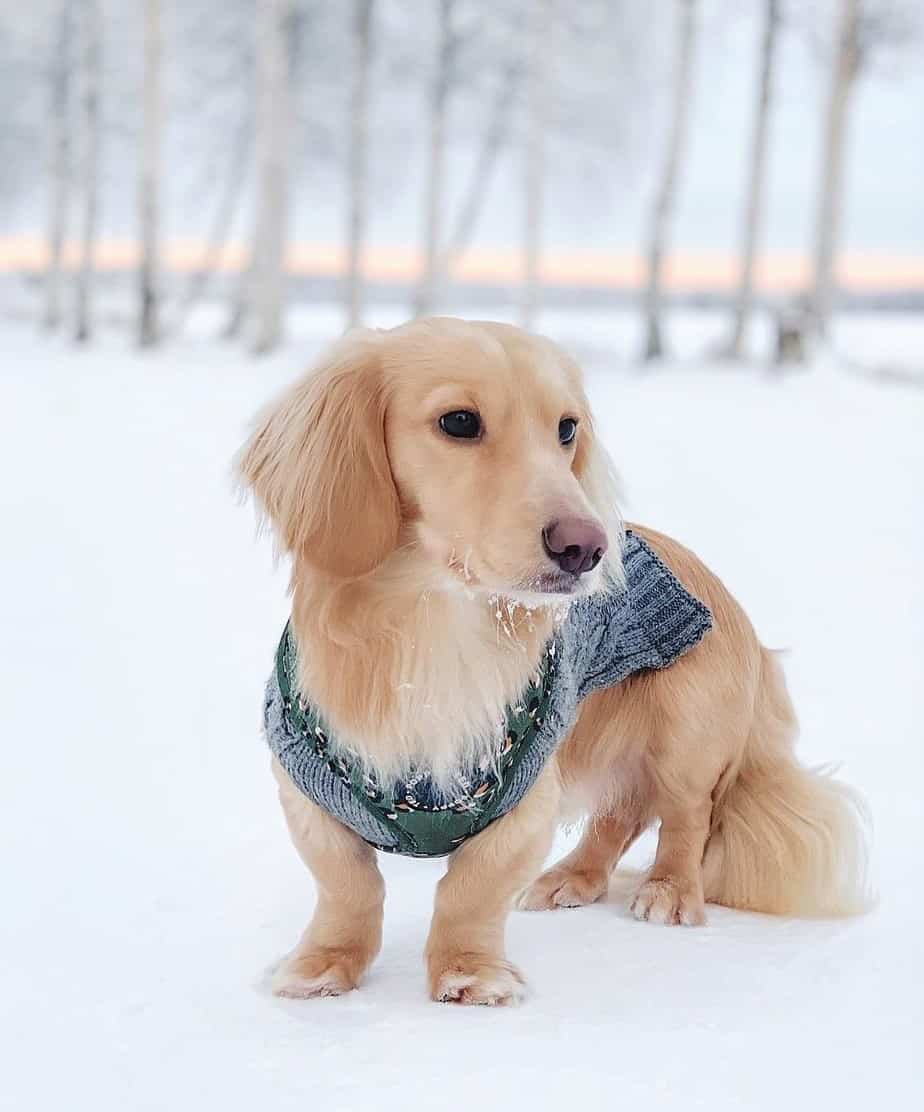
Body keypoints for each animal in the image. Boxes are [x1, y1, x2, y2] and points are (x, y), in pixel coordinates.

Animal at [234, 315, 871, 1009]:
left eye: (566, 428)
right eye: (459, 421)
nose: (585, 548)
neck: (435, 630)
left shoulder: (526, 790)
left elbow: (471, 891)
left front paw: (469, 972)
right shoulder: (308, 785)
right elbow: (348, 886)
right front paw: (324, 963)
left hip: (689, 736)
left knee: (685, 817)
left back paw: (669, 892)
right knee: (622, 814)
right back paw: (574, 878)